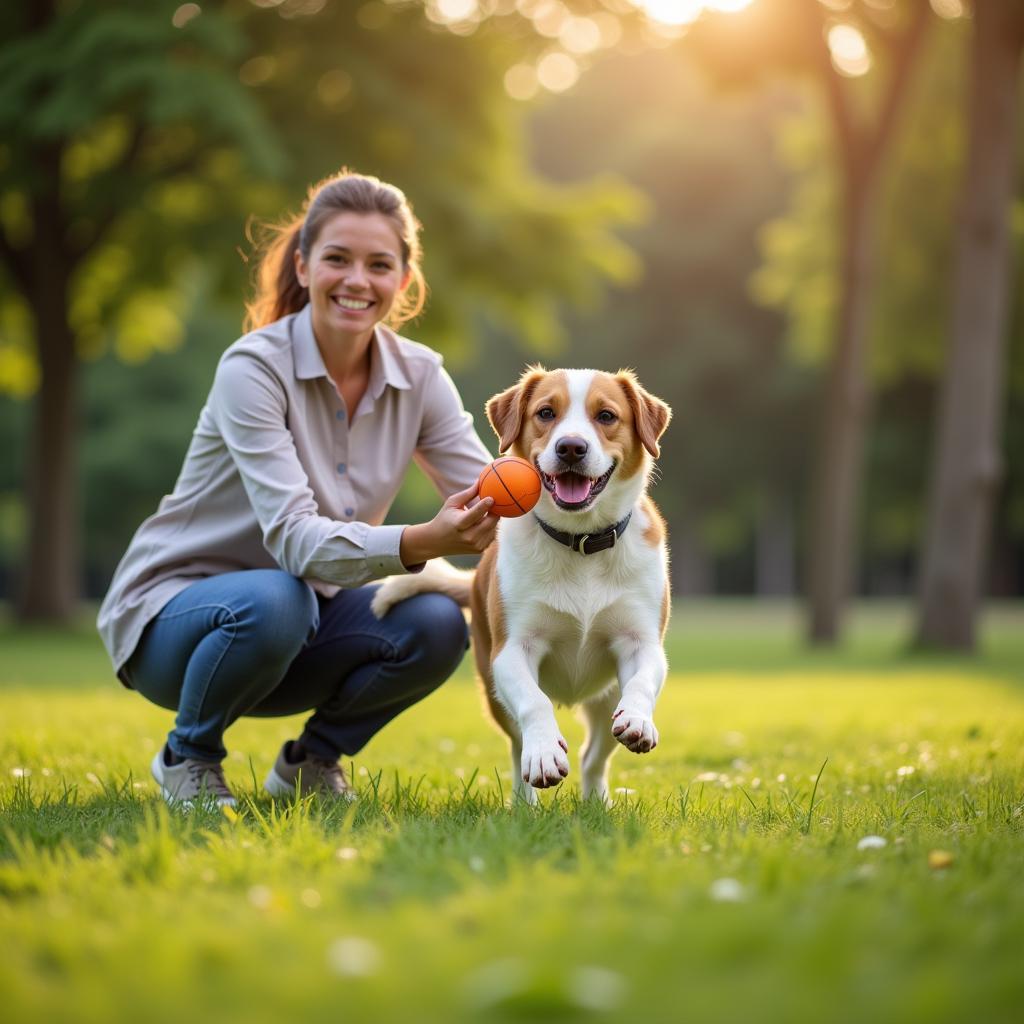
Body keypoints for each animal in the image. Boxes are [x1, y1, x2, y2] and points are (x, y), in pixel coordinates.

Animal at [372, 364, 675, 802]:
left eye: (606, 416)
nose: (571, 448)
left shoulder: (641, 642)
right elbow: (535, 704)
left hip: (603, 703)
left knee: (593, 756)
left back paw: (597, 802)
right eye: (546, 413)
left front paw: (638, 720)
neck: (579, 543)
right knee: (518, 749)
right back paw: (523, 801)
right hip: (495, 696)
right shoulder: (512, 651)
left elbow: (642, 682)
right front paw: (545, 753)